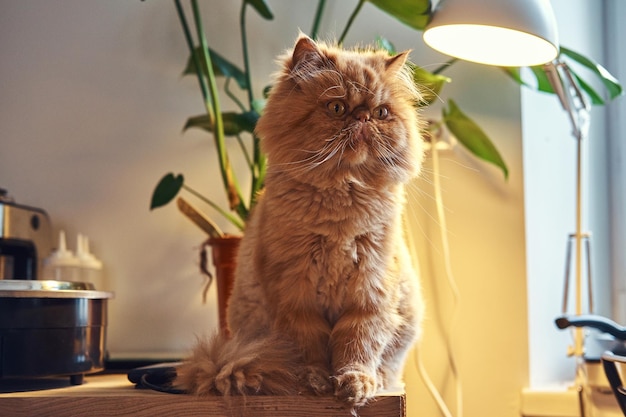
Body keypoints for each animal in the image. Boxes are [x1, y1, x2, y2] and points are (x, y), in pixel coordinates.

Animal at [173, 35, 422, 406]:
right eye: (337, 108)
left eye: (381, 113)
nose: (364, 117)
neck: (341, 200)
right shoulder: (295, 294)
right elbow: (308, 347)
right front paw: (316, 381)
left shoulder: (370, 291)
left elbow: (358, 344)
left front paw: (355, 384)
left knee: (387, 365)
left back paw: (378, 380)